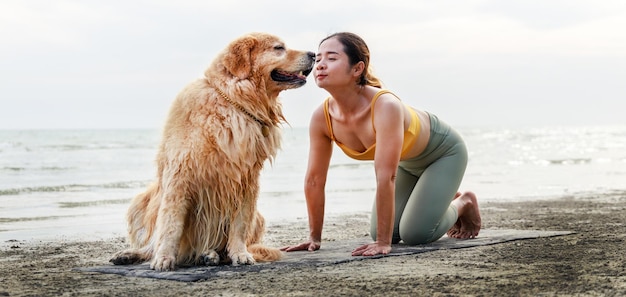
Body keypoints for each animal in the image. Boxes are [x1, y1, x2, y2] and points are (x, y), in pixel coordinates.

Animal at [109, 33, 314, 270]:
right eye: (279, 48)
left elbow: (239, 225)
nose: (314, 54)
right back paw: (131, 254)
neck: (235, 103)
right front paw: (163, 258)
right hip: (141, 202)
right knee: (151, 243)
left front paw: (240, 254)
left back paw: (211, 254)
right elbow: (170, 226)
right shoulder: (179, 176)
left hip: (258, 217)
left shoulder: (246, 178)